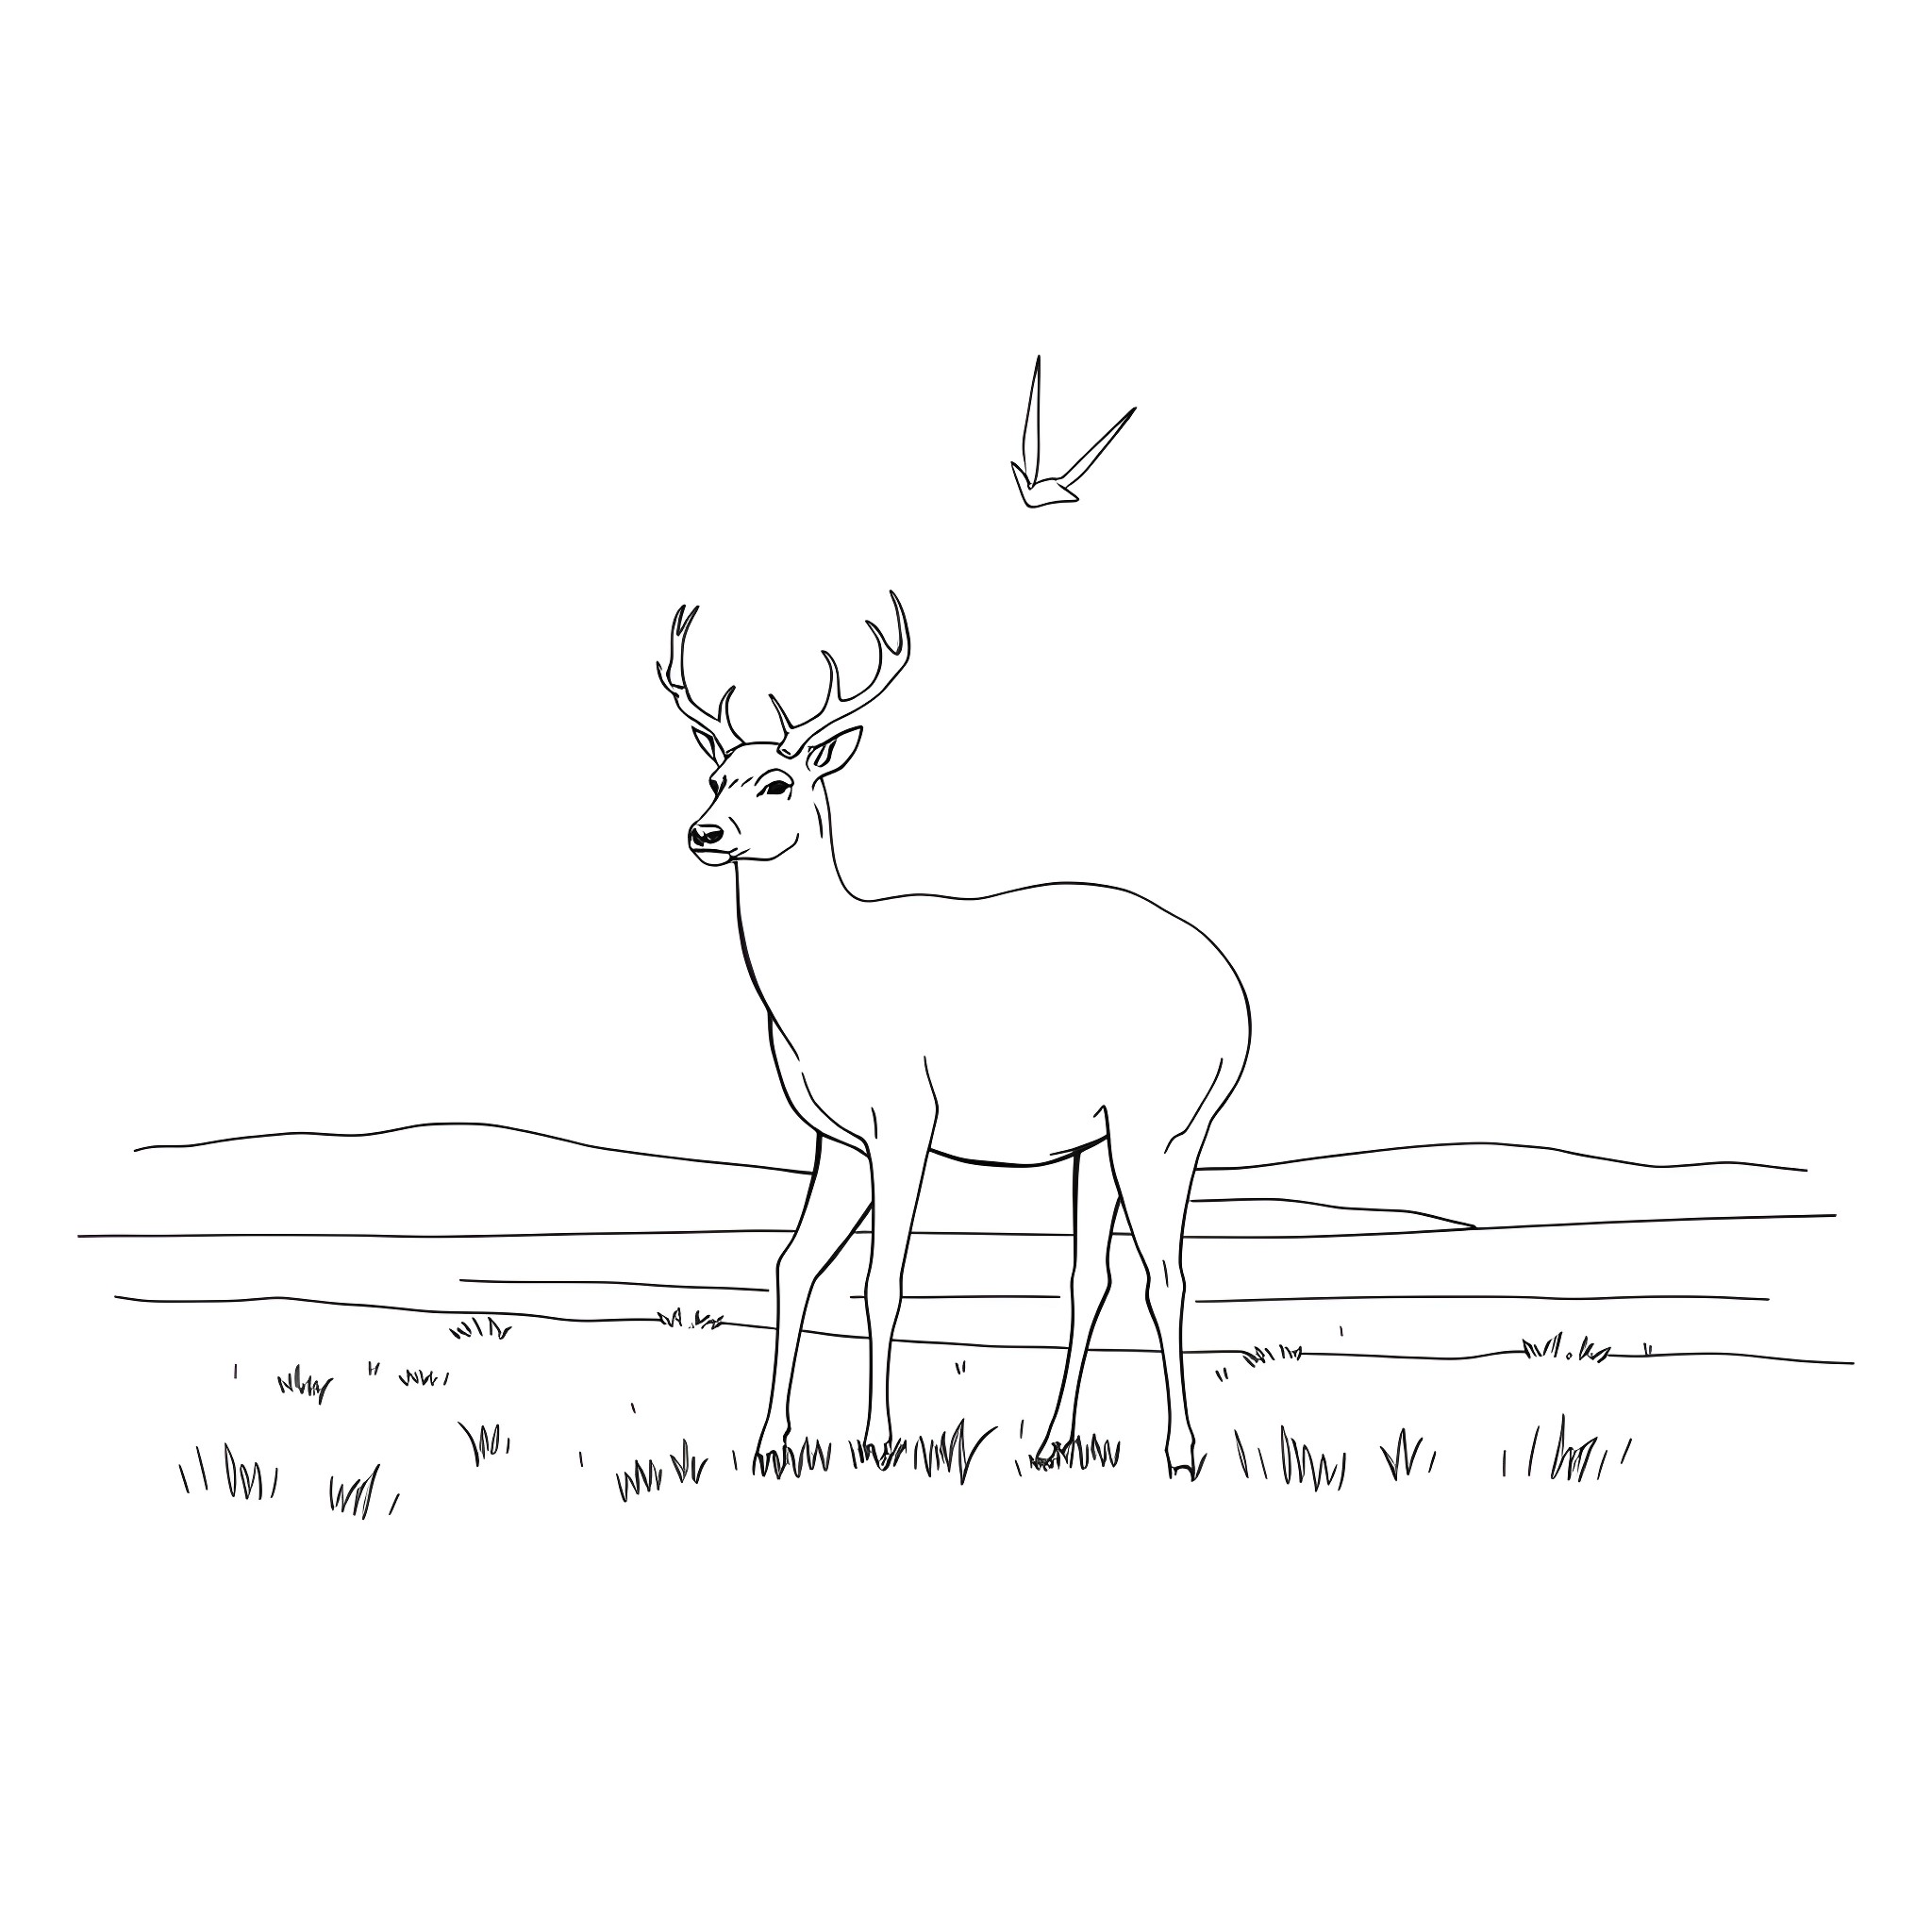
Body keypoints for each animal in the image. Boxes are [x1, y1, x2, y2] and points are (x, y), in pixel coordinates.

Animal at [659, 593, 1250, 1476]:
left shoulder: (906, 1118)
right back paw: (1051, 1439)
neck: (827, 985)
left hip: (1166, 1127)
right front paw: (769, 1442)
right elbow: (792, 1266)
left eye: (778, 781)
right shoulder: (837, 1139)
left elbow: (884, 1280)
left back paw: (1180, 1452)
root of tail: (1237, 1001)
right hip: (1099, 1144)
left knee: (1168, 1275)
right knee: (1090, 1277)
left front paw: (879, 1439)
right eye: (714, 776)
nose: (704, 833)